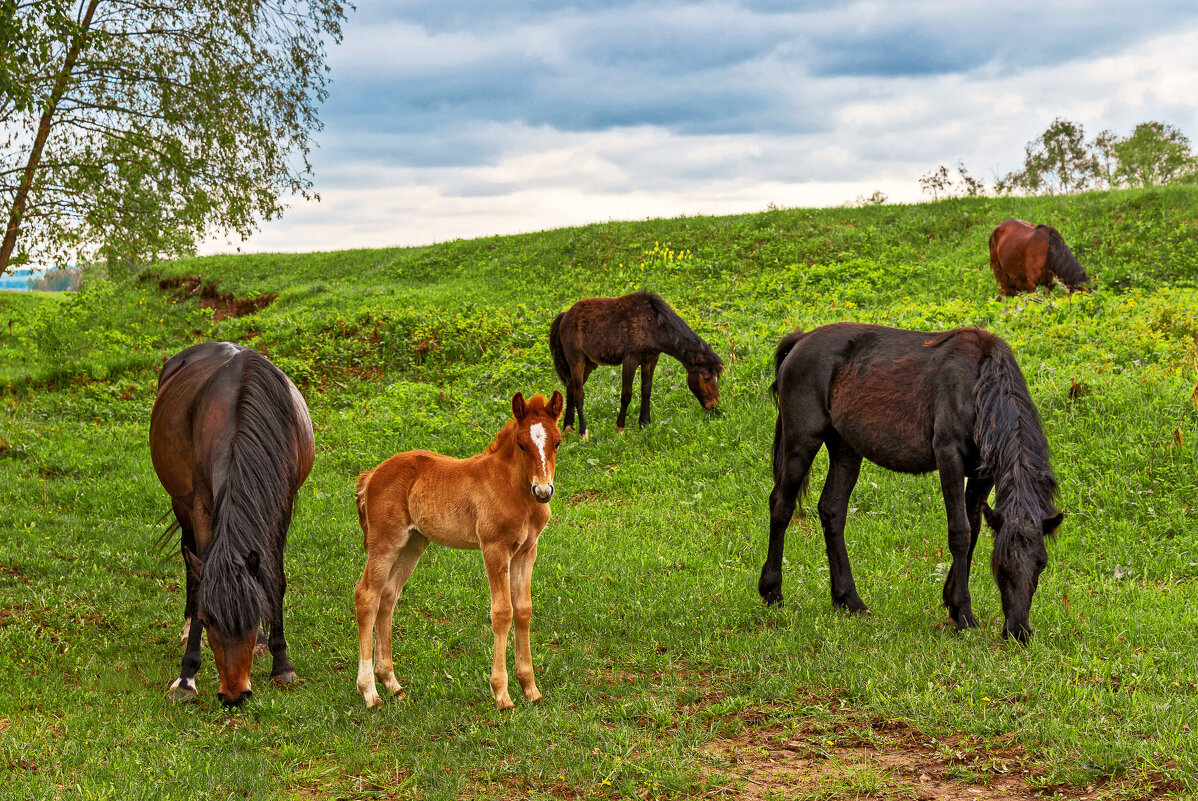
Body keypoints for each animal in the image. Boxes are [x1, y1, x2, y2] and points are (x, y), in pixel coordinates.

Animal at [149, 340, 316, 704]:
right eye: (209, 620)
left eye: (250, 620)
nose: (235, 694)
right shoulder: (201, 505)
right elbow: (199, 581)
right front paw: (187, 677)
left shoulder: (282, 506)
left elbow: (275, 580)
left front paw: (281, 663)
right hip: (181, 503)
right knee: (189, 556)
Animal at [548, 290, 723, 438]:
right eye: (707, 378)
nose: (713, 406)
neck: (653, 325)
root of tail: (564, 316)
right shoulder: (630, 360)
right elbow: (626, 394)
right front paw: (619, 427)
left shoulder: (651, 360)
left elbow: (646, 390)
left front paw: (644, 422)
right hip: (576, 360)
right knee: (578, 393)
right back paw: (583, 432)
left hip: (589, 363)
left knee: (570, 389)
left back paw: (567, 428)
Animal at [761, 320, 1063, 641]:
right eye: (1000, 563)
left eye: (1041, 564)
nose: (1018, 631)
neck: (979, 386)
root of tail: (800, 340)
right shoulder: (949, 457)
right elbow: (960, 532)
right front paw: (964, 614)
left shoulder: (983, 475)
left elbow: (973, 531)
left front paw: (952, 601)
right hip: (802, 440)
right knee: (781, 506)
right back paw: (772, 591)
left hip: (846, 449)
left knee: (832, 511)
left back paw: (848, 599)